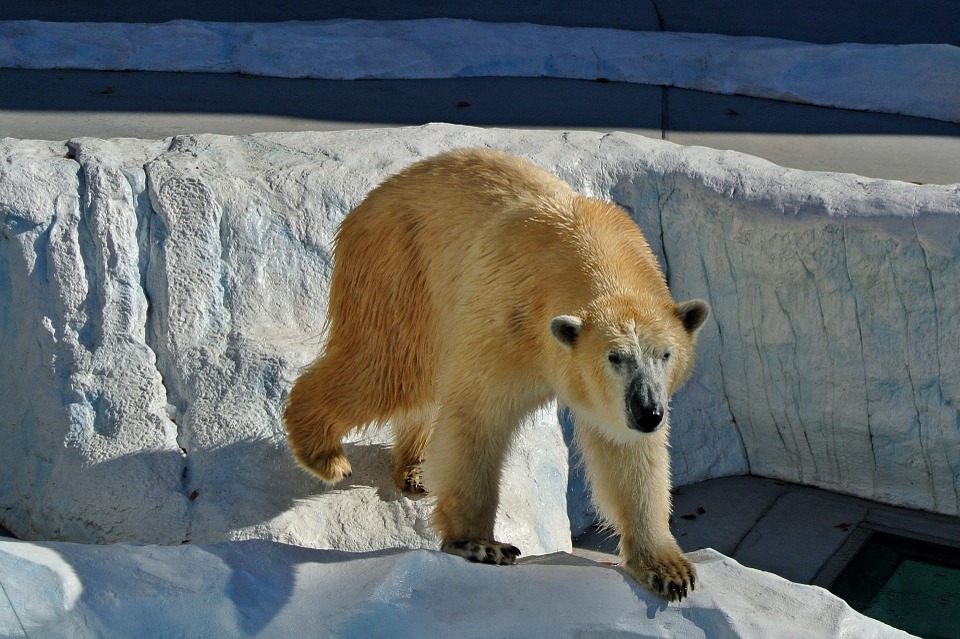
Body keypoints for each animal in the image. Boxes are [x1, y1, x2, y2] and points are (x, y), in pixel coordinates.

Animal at [284, 148, 710, 602]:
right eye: (615, 357)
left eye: (665, 354)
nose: (649, 413)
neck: (584, 247)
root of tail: (368, 202)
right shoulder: (509, 317)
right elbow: (477, 415)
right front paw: (480, 544)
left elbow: (625, 452)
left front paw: (668, 569)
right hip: (399, 267)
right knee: (388, 369)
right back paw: (324, 454)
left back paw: (415, 469)